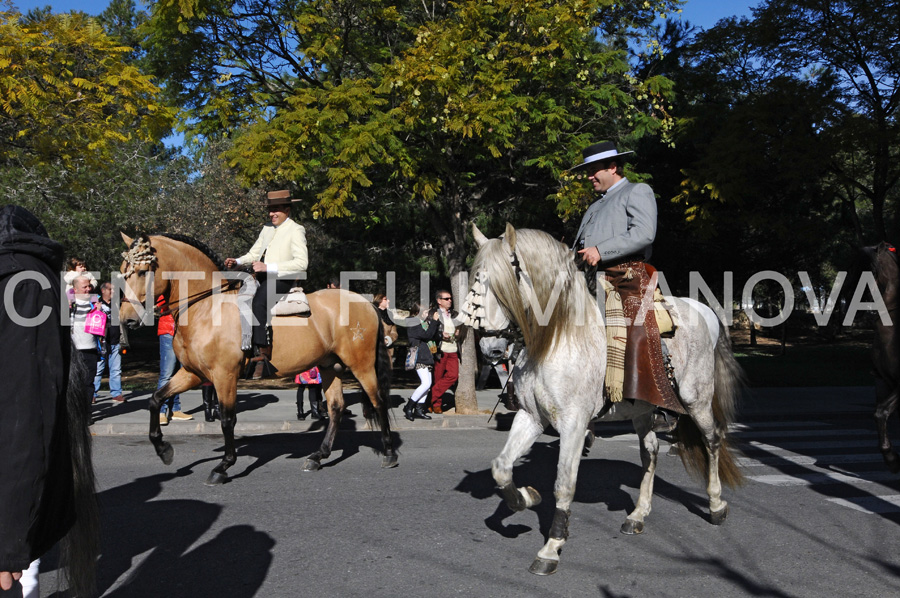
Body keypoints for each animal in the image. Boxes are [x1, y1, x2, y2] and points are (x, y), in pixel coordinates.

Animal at [118, 232, 396, 486]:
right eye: (123, 272)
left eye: (142, 272)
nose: (126, 319)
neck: (207, 308)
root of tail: (365, 302)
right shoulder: (193, 373)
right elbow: (155, 399)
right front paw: (163, 449)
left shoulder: (224, 375)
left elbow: (227, 419)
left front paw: (223, 466)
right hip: (329, 366)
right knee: (336, 407)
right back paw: (318, 456)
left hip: (361, 365)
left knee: (378, 400)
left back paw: (389, 453)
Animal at [460, 224, 740, 576]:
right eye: (475, 280)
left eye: (505, 282)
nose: (490, 349)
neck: (557, 337)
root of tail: (706, 311)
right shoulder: (531, 417)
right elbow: (501, 468)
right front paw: (527, 498)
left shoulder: (574, 424)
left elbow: (564, 483)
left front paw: (552, 546)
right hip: (642, 408)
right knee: (650, 452)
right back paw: (638, 514)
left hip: (696, 400)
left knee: (712, 439)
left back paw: (716, 504)